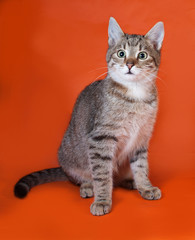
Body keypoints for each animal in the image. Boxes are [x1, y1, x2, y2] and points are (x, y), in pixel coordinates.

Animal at [14, 16, 165, 216]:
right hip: (71, 157)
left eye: (142, 55)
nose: (129, 64)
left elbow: (141, 167)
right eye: (121, 53)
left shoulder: (141, 138)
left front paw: (145, 187)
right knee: (84, 176)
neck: (135, 95)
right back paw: (87, 186)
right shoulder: (100, 139)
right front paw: (102, 200)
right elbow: (102, 175)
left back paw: (129, 181)